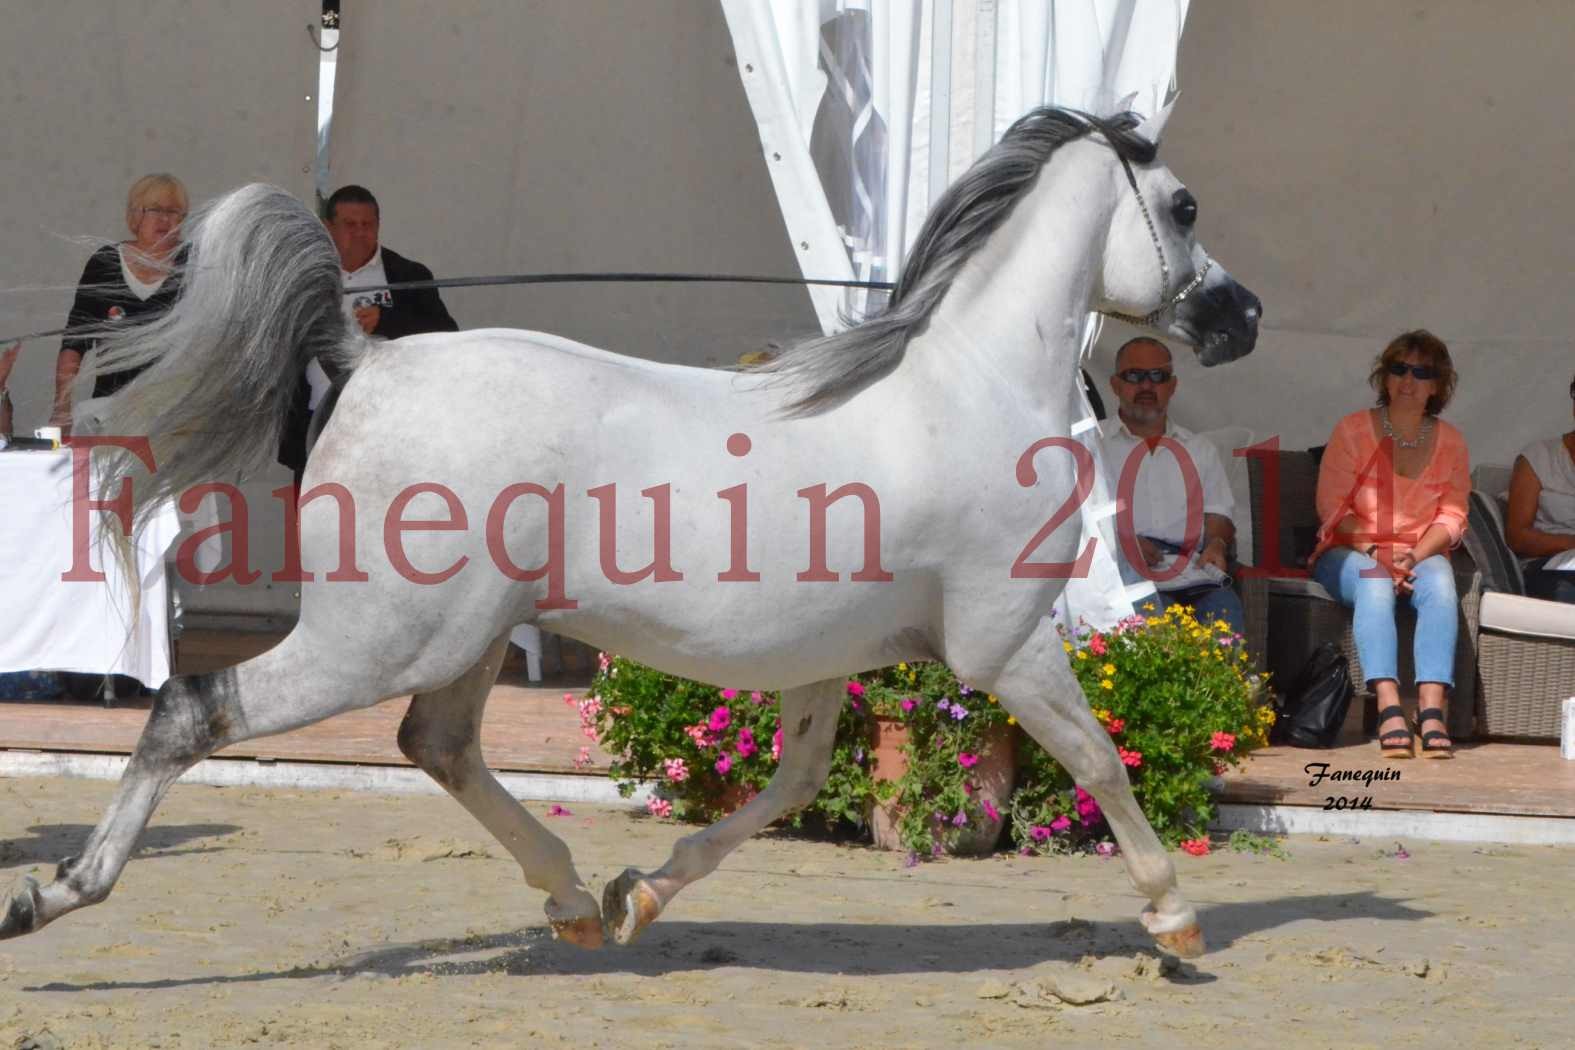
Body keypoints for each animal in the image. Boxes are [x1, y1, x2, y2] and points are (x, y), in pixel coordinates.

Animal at [0, 108, 1253, 963]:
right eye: (1185, 206)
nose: (1238, 316)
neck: (965, 388)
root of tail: (367, 356)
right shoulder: (1004, 643)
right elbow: (1099, 758)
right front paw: (1176, 921)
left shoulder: (828, 658)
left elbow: (790, 786)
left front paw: (640, 893)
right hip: (380, 637)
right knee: (195, 709)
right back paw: (55, 892)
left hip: (465, 635)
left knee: (436, 746)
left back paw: (570, 898)